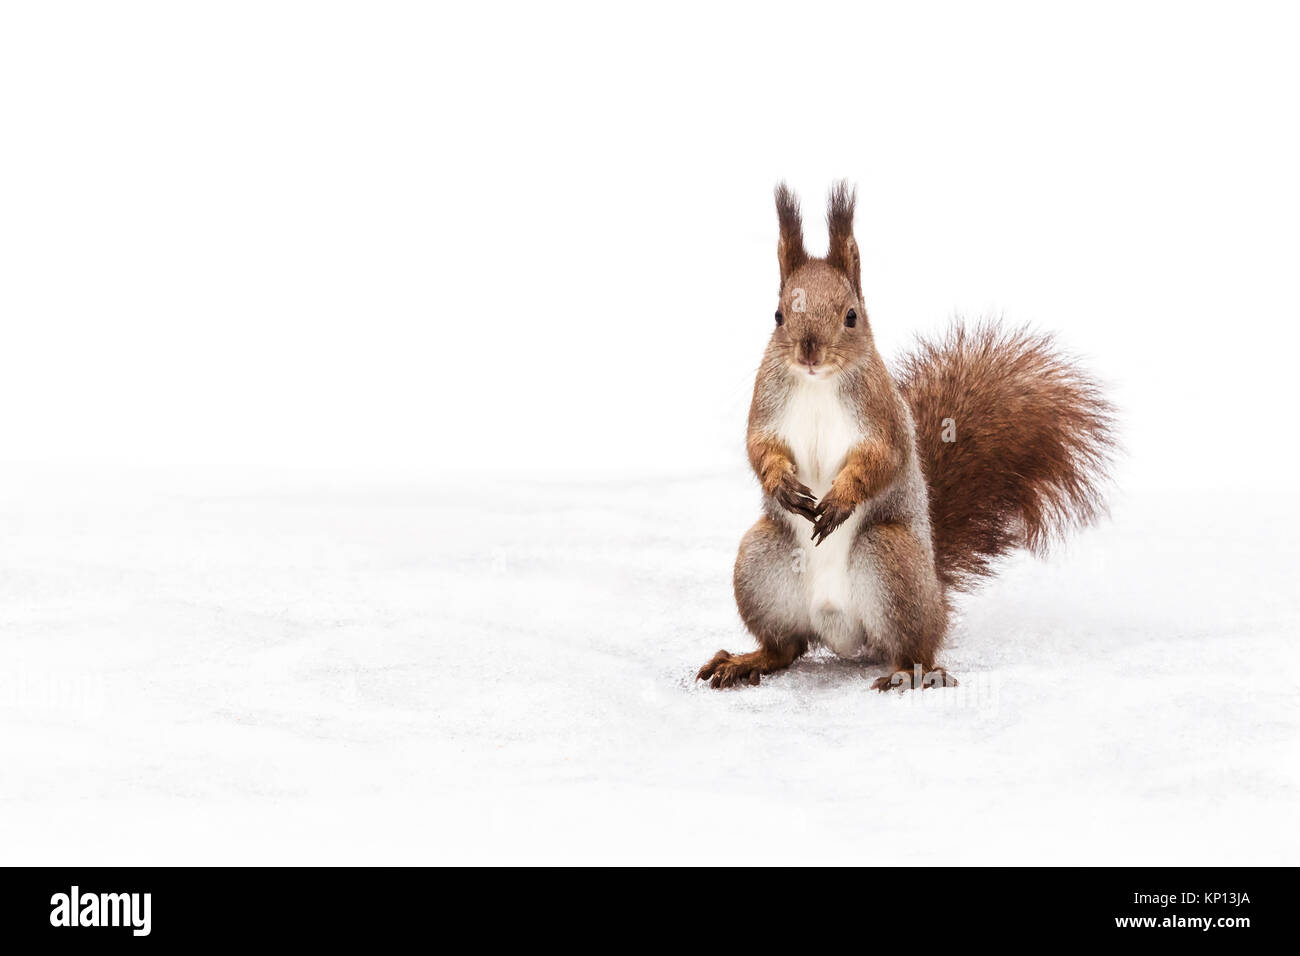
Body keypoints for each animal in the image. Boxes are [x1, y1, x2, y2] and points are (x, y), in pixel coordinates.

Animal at [698, 182, 1115, 691]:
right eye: (778, 315)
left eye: (851, 316)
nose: (809, 351)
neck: (817, 383)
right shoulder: (766, 408)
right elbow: (761, 449)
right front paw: (781, 483)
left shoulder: (883, 419)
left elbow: (882, 459)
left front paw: (840, 498)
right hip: (760, 561)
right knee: (787, 647)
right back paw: (746, 661)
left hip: (891, 560)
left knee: (911, 646)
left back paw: (910, 674)